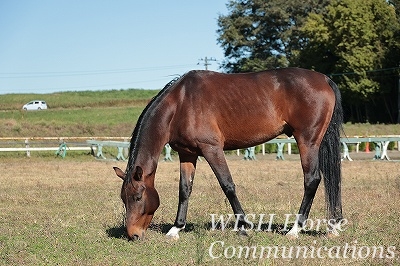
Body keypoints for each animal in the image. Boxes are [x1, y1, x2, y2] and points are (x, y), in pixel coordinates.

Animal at [113, 67, 344, 241]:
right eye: (123, 198)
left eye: (137, 197)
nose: (133, 235)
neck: (180, 104)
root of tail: (324, 79)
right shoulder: (187, 154)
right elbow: (185, 190)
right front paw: (176, 229)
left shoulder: (212, 149)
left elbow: (227, 185)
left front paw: (243, 226)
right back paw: (333, 227)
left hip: (307, 141)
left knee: (312, 180)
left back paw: (295, 229)